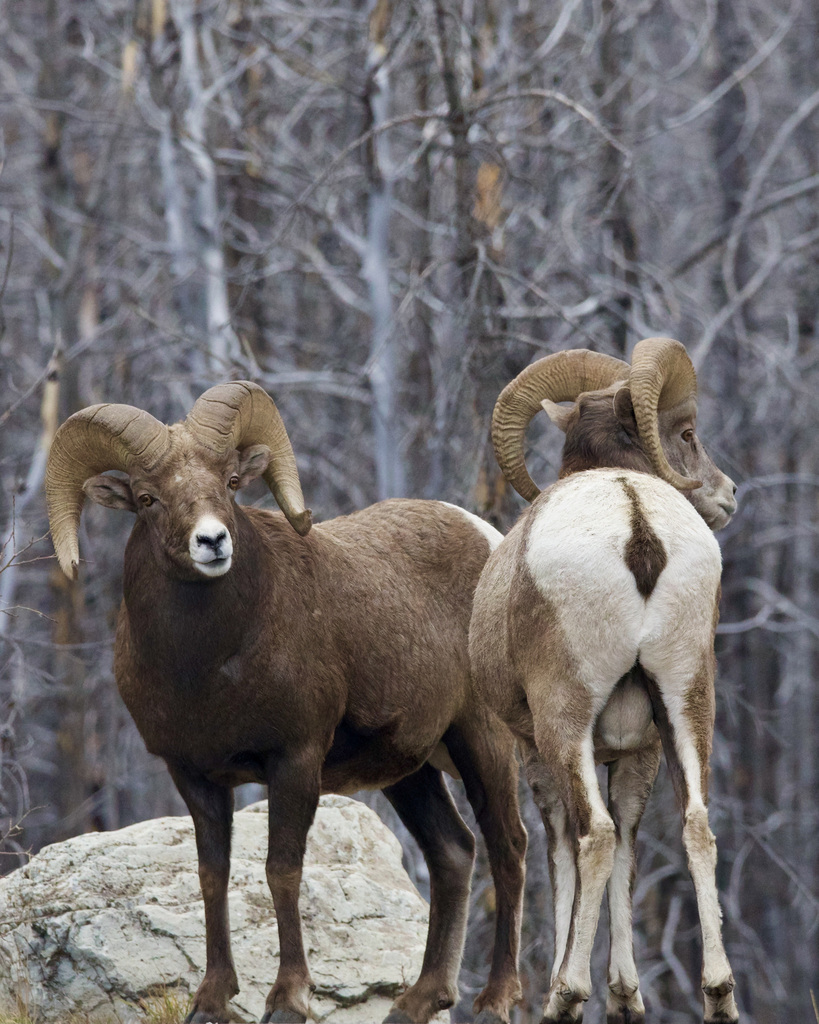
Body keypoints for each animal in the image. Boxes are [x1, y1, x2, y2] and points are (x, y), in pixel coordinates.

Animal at [45, 381, 527, 1024]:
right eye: (147, 498)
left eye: (229, 482)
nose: (212, 541)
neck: (205, 667)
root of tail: (487, 538)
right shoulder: (192, 774)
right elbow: (212, 875)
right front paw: (211, 998)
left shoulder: (294, 760)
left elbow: (282, 870)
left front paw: (289, 998)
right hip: (411, 769)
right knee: (453, 852)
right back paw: (418, 1001)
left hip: (481, 739)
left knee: (508, 847)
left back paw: (495, 1000)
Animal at [468, 338, 739, 1023]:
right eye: (687, 434)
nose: (729, 495)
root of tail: (634, 517)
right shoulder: (639, 751)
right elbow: (631, 853)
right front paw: (626, 997)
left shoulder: (537, 753)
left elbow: (566, 849)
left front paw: (581, 988)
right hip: (687, 702)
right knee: (695, 825)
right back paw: (719, 994)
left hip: (566, 721)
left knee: (594, 837)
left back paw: (565, 996)